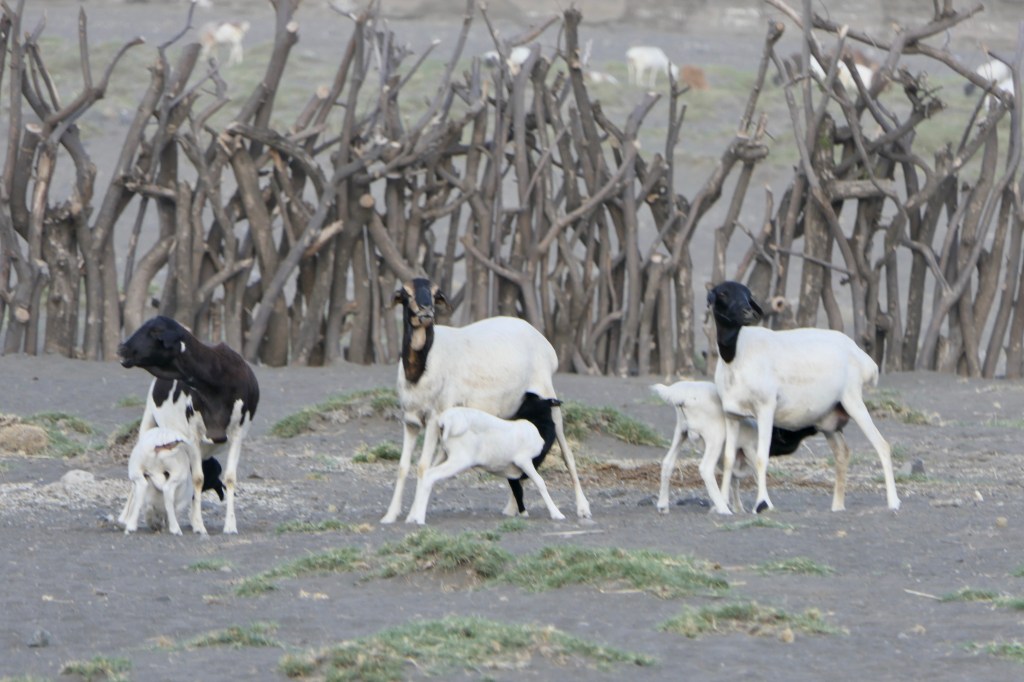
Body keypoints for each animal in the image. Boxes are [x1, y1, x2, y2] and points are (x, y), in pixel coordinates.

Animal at [118, 315, 260, 534]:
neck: (217, 379)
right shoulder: (193, 434)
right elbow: (198, 478)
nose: (122, 347)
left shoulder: (238, 433)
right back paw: (126, 518)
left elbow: (229, 478)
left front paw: (229, 525)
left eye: (154, 331)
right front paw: (200, 525)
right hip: (149, 422)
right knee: (137, 478)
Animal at [406, 392, 566, 525]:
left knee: (424, 473)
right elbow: (540, 482)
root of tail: (446, 420)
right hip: (459, 460)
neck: (536, 423)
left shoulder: (512, 472)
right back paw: (419, 519)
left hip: (444, 455)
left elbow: (517, 490)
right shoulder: (524, 461)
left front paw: (522, 512)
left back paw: (413, 517)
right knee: (430, 475)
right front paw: (556, 514)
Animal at [651, 381, 817, 514]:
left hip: (681, 432)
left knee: (667, 463)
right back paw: (722, 509)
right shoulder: (748, 448)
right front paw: (763, 503)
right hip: (715, 436)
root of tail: (681, 395)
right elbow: (756, 472)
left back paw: (663, 505)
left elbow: (733, 480)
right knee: (706, 469)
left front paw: (738, 507)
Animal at [706, 281, 900, 515]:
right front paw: (723, 505)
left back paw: (893, 502)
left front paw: (763, 504)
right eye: (723, 293)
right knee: (843, 453)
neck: (736, 355)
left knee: (882, 445)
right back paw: (837, 506)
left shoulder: (765, 408)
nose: (748, 312)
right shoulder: (732, 414)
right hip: (828, 420)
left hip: (853, 400)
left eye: (748, 294)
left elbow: (761, 458)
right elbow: (728, 459)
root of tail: (865, 359)